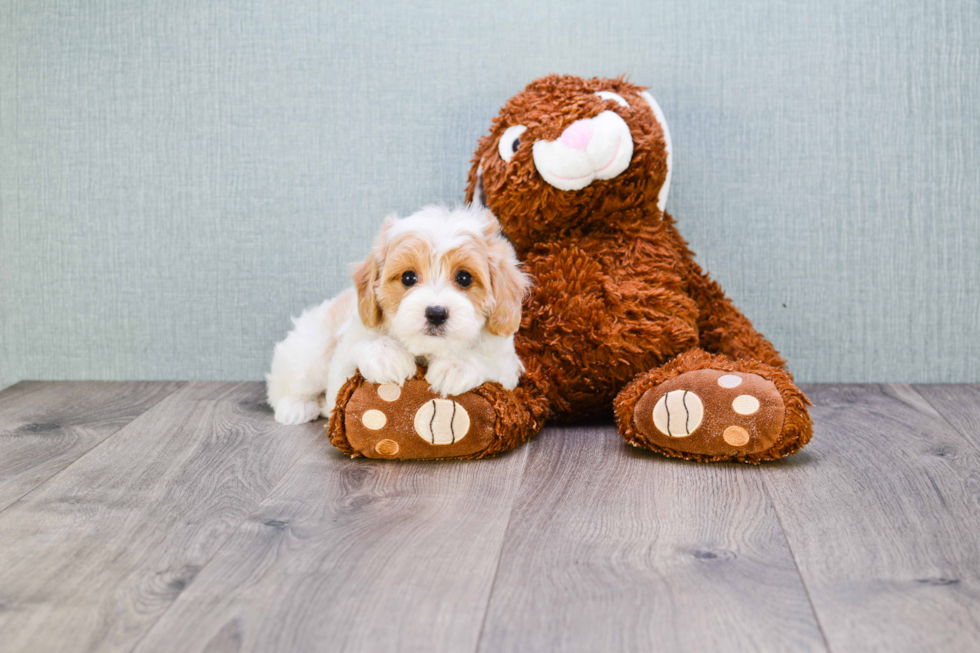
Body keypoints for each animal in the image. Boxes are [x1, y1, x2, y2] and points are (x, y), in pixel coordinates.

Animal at [266, 205, 528, 428]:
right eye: (408, 278)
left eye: (464, 278)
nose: (436, 313)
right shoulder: (347, 350)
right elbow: (355, 353)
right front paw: (386, 355)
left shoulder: (506, 364)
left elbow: (489, 360)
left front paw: (456, 366)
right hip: (310, 351)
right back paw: (296, 408)